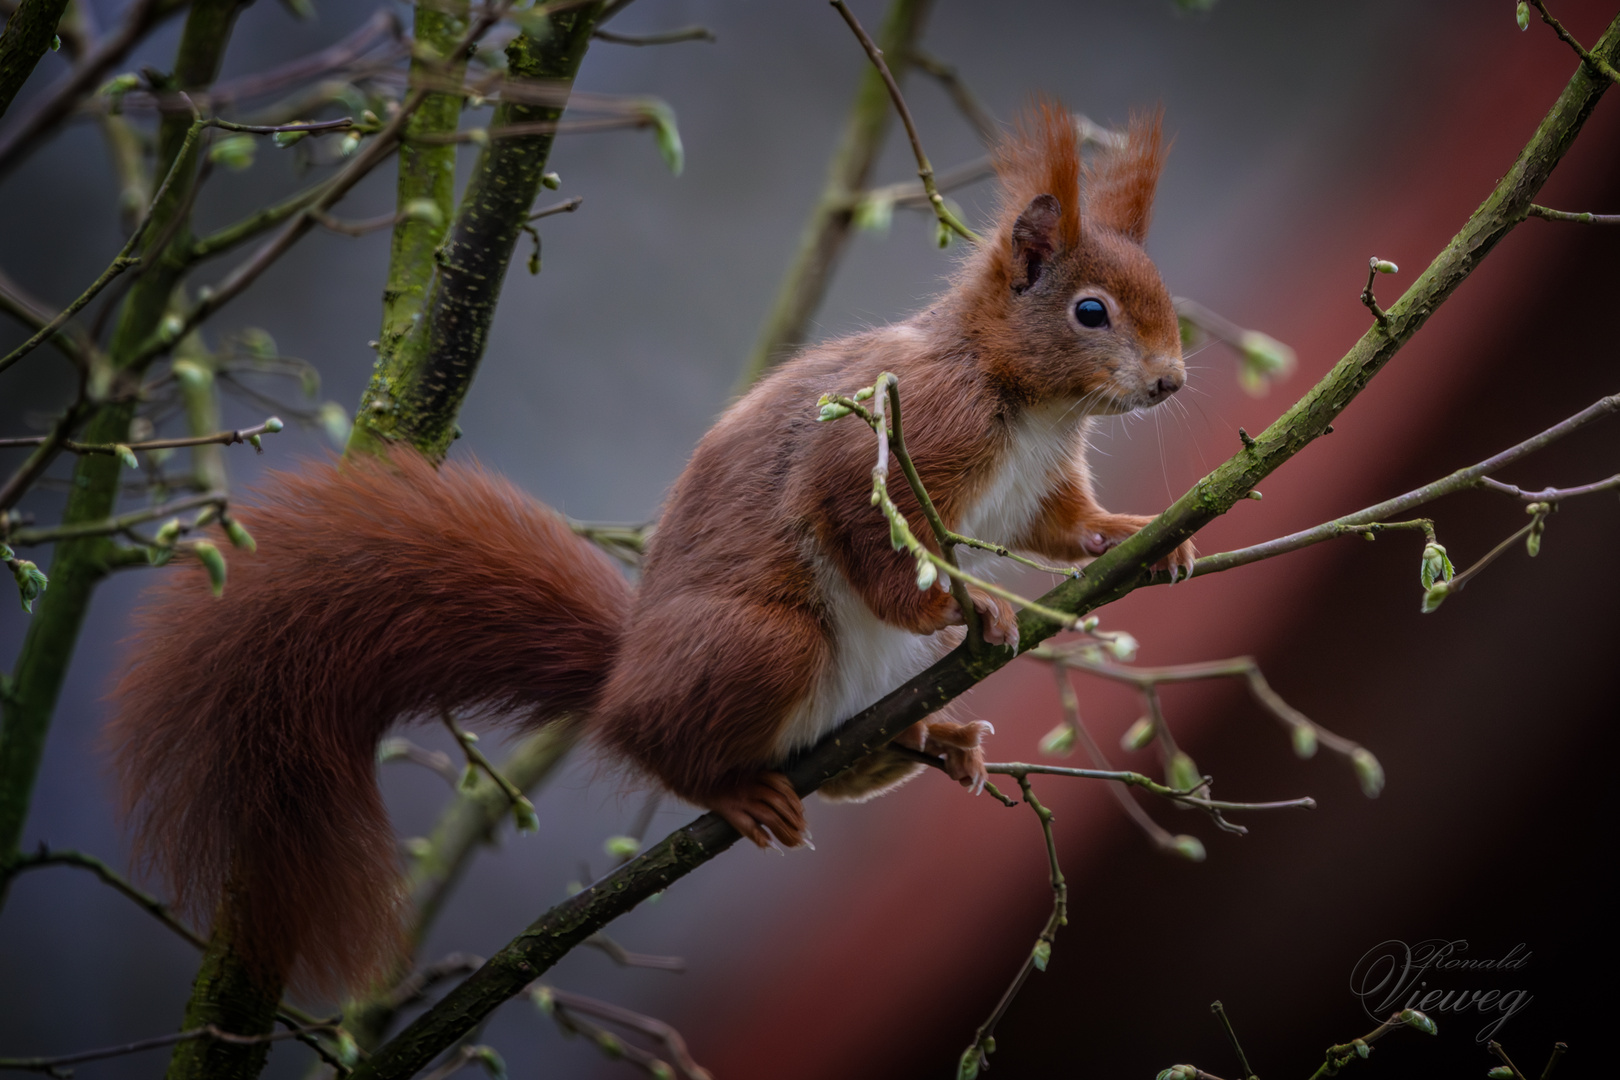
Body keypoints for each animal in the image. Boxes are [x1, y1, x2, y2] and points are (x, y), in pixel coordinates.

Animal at [101, 101, 1192, 997]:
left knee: (841, 757)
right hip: (760, 644)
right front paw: (962, 604)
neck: (1033, 404)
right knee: (671, 747)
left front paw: (1143, 542)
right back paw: (738, 786)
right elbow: (867, 535)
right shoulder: (892, 441)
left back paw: (929, 738)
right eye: (1090, 311)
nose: (1174, 382)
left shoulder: (1040, 484)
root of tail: (619, 679)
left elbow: (1062, 530)